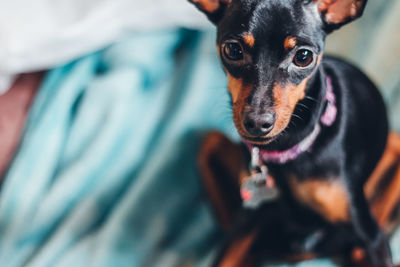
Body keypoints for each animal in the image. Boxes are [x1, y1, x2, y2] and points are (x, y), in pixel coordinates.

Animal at [189, 0, 400, 267]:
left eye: (303, 57)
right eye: (233, 50)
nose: (257, 122)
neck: (288, 150)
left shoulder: (372, 237)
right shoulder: (245, 223)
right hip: (211, 145)